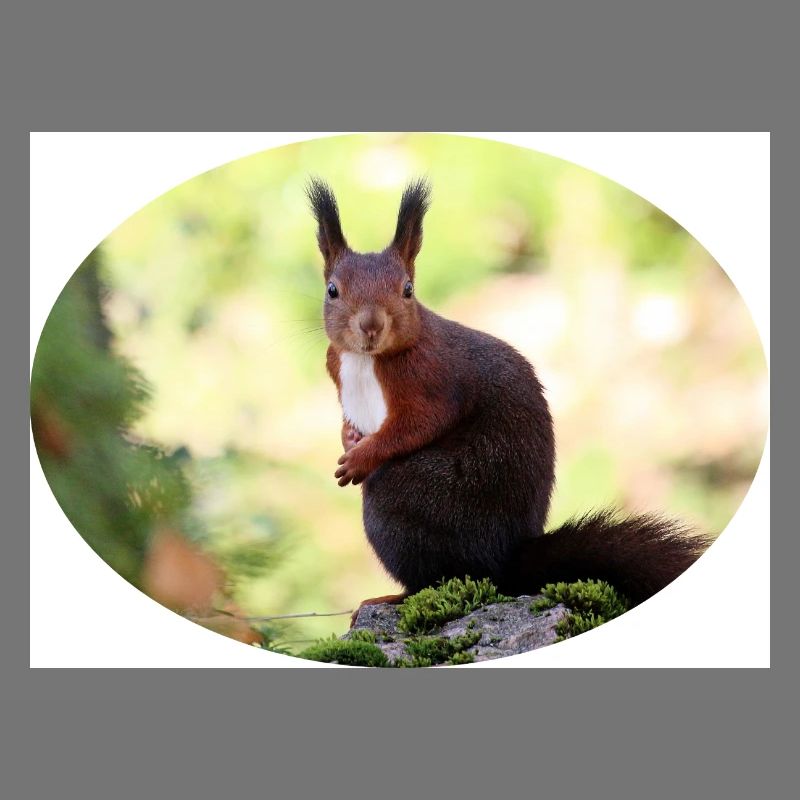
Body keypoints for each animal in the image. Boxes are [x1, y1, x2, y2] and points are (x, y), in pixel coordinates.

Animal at [307, 177, 710, 619]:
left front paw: (361, 457)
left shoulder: (431, 379)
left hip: (403, 501)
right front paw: (349, 439)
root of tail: (502, 562)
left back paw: (393, 596)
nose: (371, 325)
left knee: (437, 576)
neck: (366, 360)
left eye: (408, 290)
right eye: (332, 290)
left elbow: (417, 425)